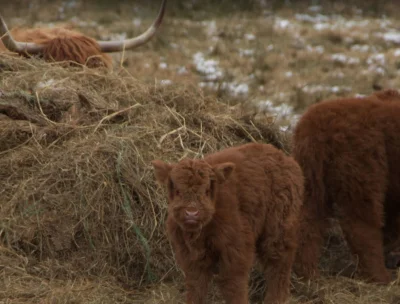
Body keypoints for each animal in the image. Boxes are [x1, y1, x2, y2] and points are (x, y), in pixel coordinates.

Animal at [152, 143, 304, 304]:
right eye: (178, 191)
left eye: (206, 190)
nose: (192, 212)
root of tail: (283, 156)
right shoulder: (190, 256)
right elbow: (196, 285)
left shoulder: (236, 248)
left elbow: (232, 284)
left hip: (279, 225)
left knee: (279, 261)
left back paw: (275, 299)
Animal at [292, 89, 400, 284]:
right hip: (361, 171)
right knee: (361, 224)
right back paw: (379, 276)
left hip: (310, 177)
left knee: (307, 220)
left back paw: (307, 274)